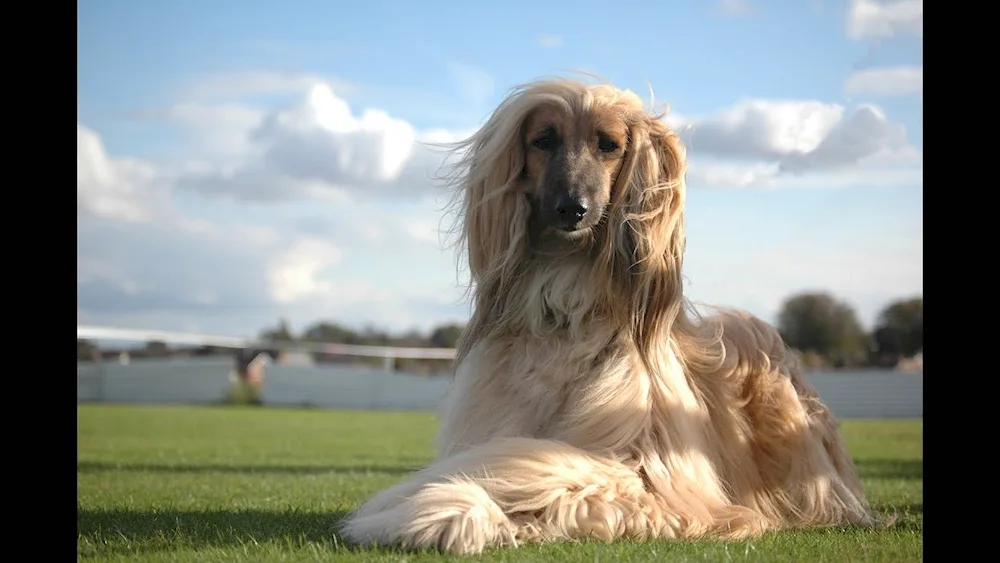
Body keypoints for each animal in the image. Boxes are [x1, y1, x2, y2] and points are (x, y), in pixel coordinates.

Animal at [340, 78, 872, 556]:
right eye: (544, 139)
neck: (564, 317)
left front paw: (441, 507)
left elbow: (543, 470)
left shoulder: (657, 478)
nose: (572, 210)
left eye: (609, 145)